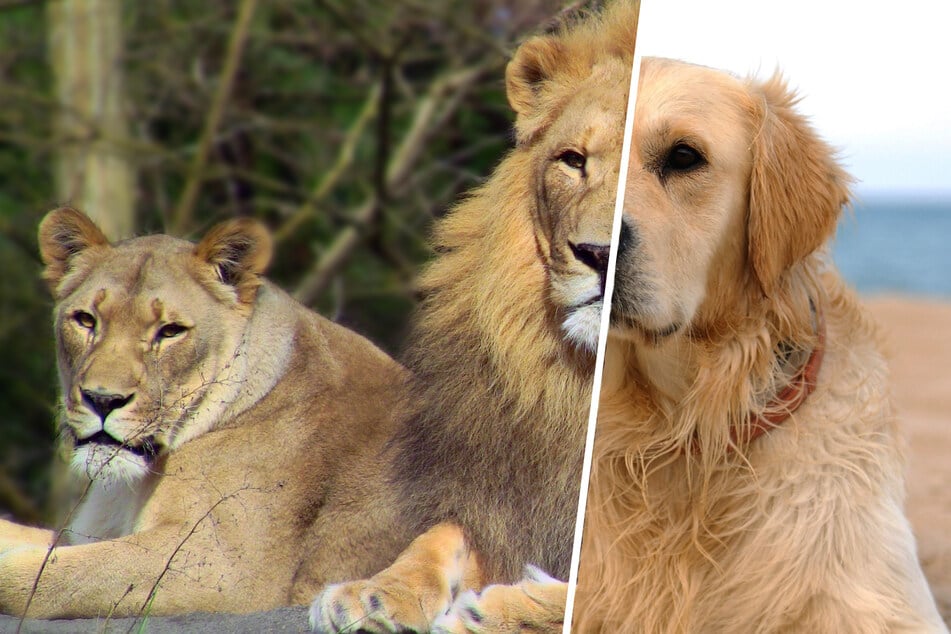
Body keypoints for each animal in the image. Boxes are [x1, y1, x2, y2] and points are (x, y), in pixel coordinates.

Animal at [309, 3, 638, 632]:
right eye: (574, 161)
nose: (602, 254)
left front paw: (498, 609)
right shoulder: (503, 503)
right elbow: (439, 536)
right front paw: (374, 595)